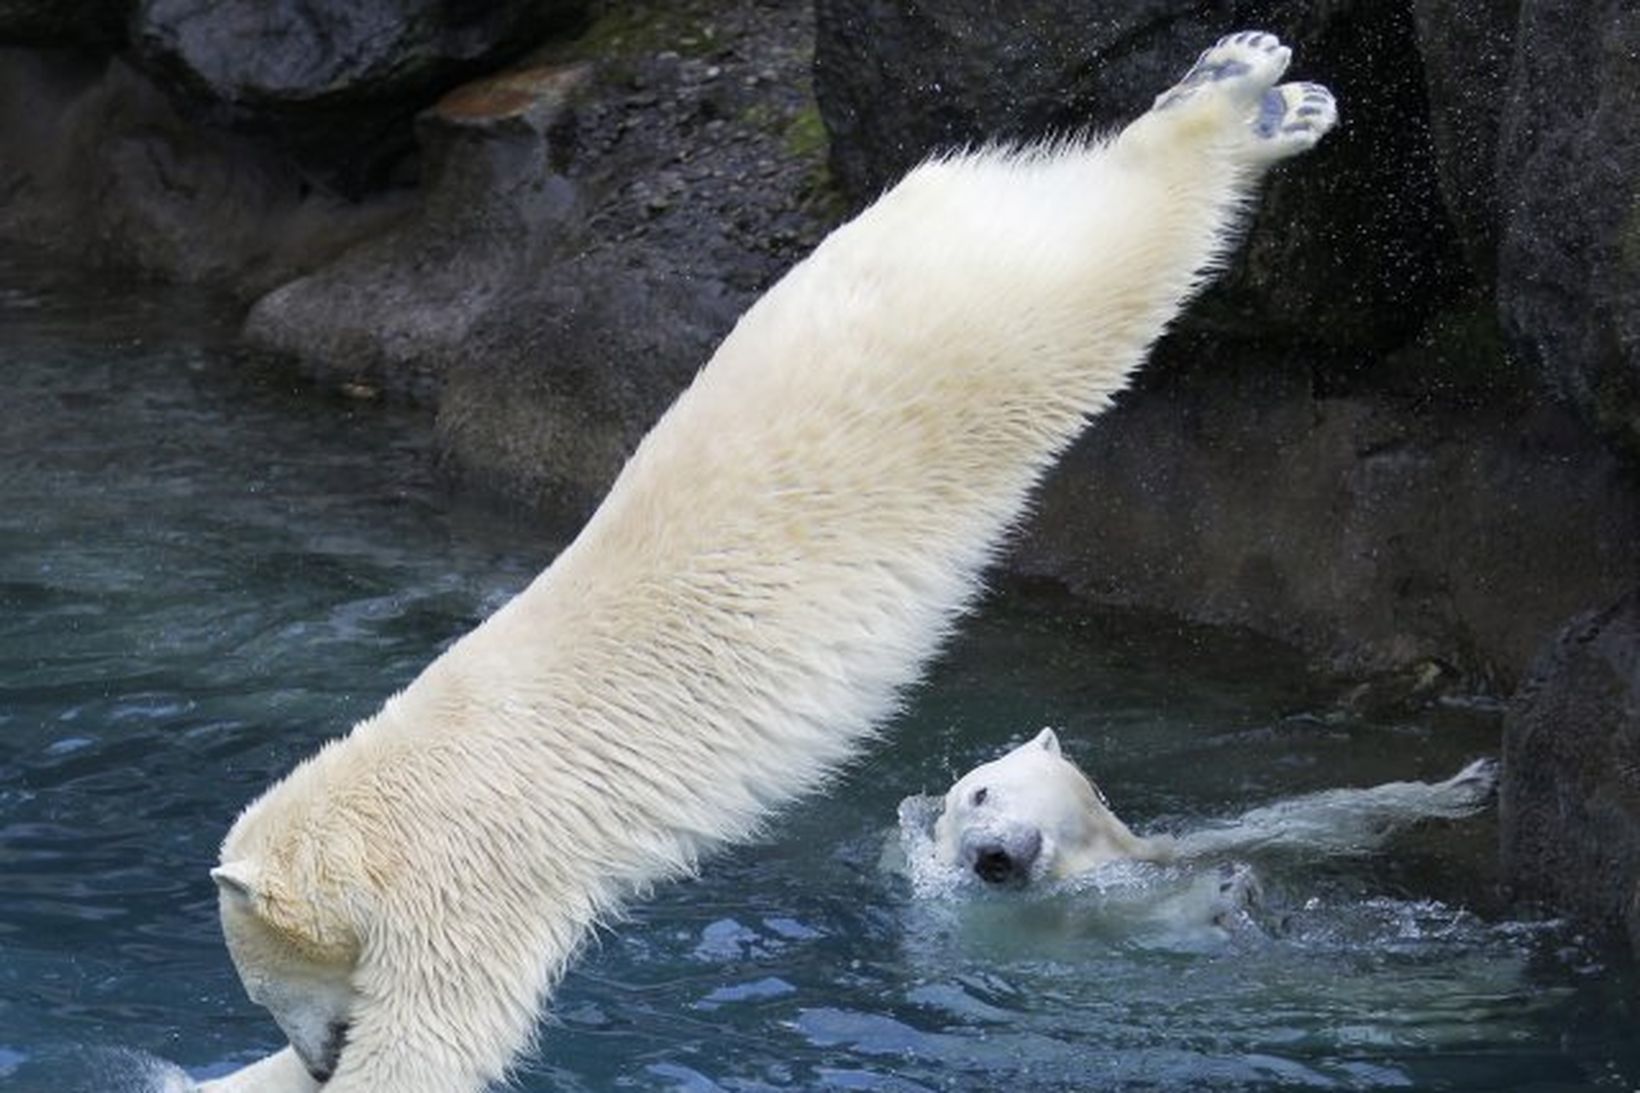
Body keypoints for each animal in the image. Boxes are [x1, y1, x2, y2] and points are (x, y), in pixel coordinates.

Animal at [198, 34, 1338, 1089]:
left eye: (262, 984)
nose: (315, 1048)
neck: (401, 783)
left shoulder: (469, 877)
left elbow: (432, 1040)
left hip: (992, 336)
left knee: (1119, 258)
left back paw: (1242, 95)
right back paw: (1262, 92)